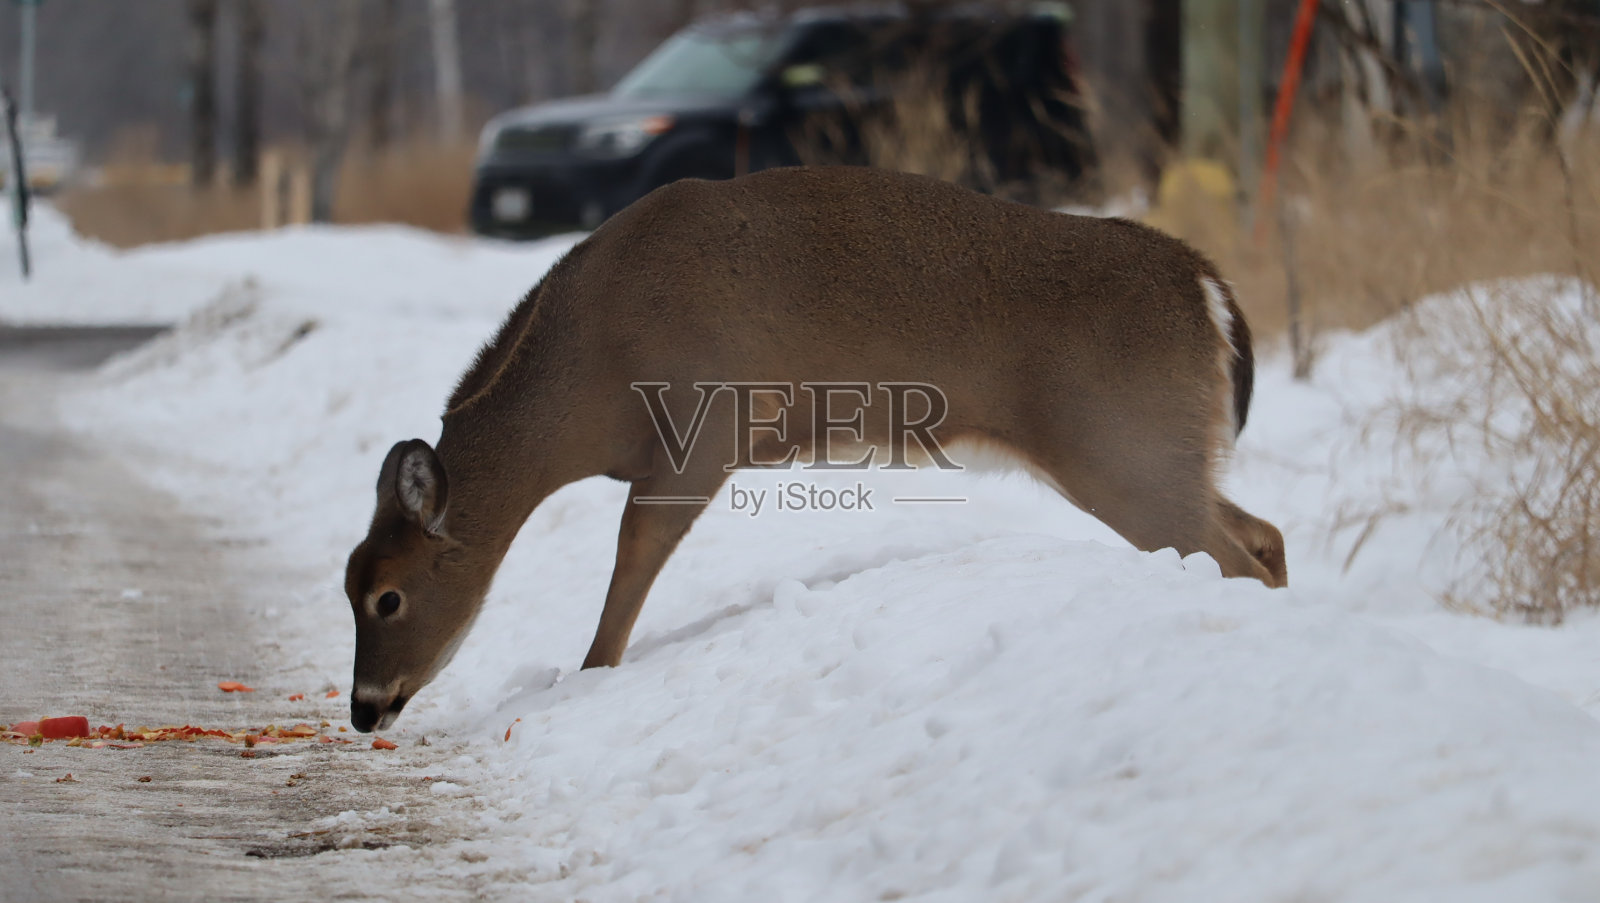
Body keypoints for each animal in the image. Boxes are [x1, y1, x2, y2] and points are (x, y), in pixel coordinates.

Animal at [343, 166, 1287, 733]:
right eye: (347, 584)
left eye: (388, 596)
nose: (362, 708)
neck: (590, 376)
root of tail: (1208, 287)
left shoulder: (703, 425)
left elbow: (632, 553)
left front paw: (588, 674)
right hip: (1158, 450)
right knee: (1263, 534)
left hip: (1123, 447)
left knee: (1235, 553)